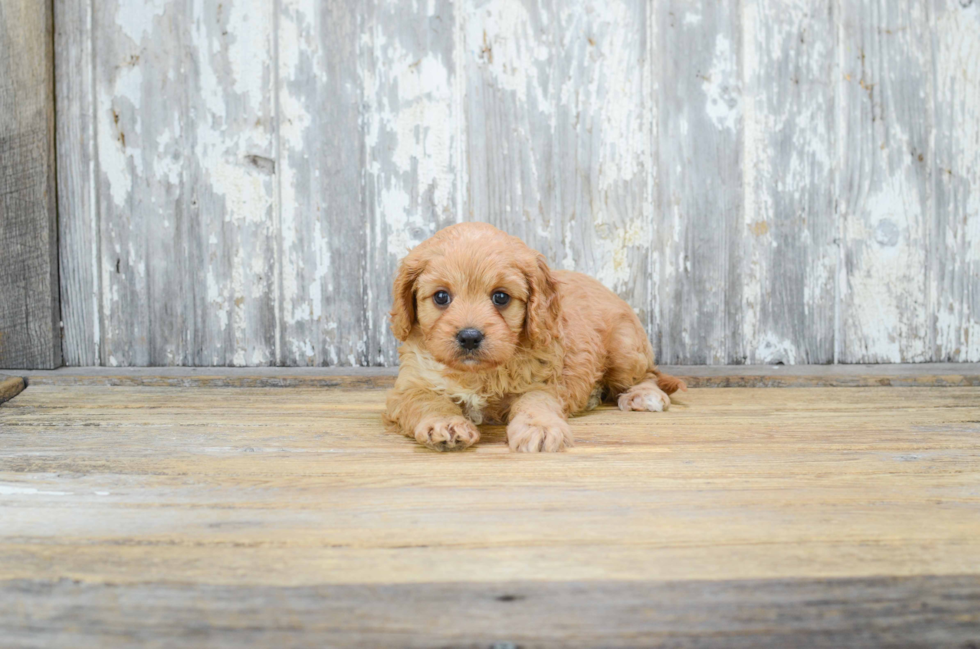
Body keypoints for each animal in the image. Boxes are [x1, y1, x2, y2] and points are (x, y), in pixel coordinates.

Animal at [384, 221, 688, 450]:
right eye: (441, 297)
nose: (469, 337)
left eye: (501, 297)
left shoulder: (541, 382)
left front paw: (540, 427)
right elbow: (427, 400)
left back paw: (644, 396)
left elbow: (534, 402)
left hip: (624, 349)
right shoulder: (409, 386)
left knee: (647, 375)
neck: (477, 374)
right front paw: (446, 424)